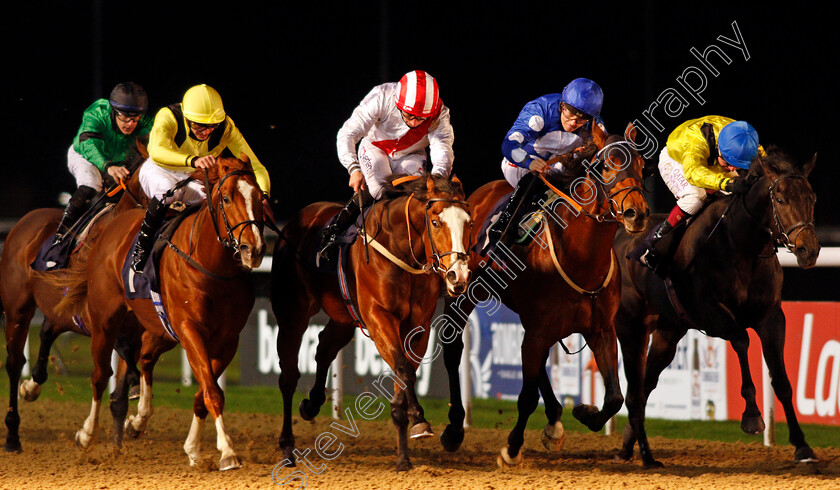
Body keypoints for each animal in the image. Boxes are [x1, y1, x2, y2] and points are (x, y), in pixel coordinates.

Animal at [0, 165, 148, 452]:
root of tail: (26, 220)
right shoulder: (96, 315)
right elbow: (121, 354)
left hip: (59, 307)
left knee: (47, 331)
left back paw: (32, 386)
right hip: (17, 309)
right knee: (14, 363)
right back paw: (12, 435)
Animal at [49, 155, 266, 468]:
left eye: (260, 198)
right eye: (226, 198)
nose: (254, 249)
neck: (213, 267)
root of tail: (114, 224)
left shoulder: (227, 340)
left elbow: (204, 391)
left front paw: (193, 448)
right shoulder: (190, 330)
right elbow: (212, 391)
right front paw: (227, 451)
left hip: (158, 328)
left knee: (146, 358)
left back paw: (138, 420)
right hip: (105, 320)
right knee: (100, 375)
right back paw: (87, 434)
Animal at [274, 175, 472, 470]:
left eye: (469, 222)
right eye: (436, 222)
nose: (457, 275)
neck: (400, 250)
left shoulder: (418, 326)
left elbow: (404, 375)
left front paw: (404, 454)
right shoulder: (379, 317)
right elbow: (403, 367)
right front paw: (419, 418)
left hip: (344, 317)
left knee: (324, 348)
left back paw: (312, 404)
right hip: (292, 315)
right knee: (288, 376)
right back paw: (287, 447)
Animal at [436, 124, 652, 466]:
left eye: (642, 165)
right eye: (605, 166)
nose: (637, 214)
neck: (580, 258)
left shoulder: (600, 330)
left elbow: (615, 398)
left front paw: (584, 411)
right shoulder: (540, 331)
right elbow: (525, 397)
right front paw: (511, 448)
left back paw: (554, 422)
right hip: (463, 291)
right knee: (454, 349)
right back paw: (455, 428)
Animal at [612, 148, 816, 468]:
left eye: (812, 198)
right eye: (781, 199)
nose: (810, 249)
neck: (742, 245)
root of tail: (623, 235)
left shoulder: (771, 316)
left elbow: (781, 380)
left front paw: (802, 445)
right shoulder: (710, 313)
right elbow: (742, 340)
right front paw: (752, 417)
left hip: (668, 330)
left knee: (645, 385)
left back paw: (627, 444)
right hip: (630, 324)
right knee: (634, 390)